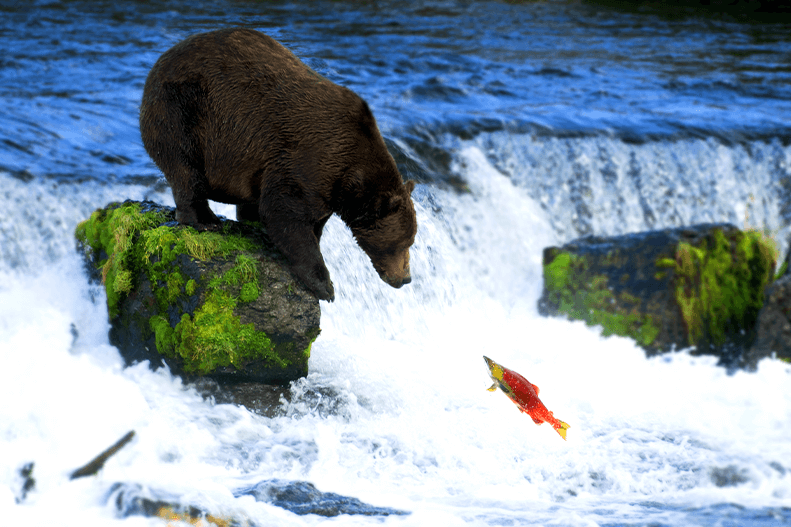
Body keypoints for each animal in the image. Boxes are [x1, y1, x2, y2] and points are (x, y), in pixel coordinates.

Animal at [139, 27, 418, 302]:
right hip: (184, 110)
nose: (405, 279)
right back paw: (205, 219)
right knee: (185, 166)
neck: (348, 177)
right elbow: (284, 214)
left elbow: (309, 222)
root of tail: (160, 62)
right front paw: (324, 286)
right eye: (403, 243)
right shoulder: (305, 162)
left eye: (411, 240)